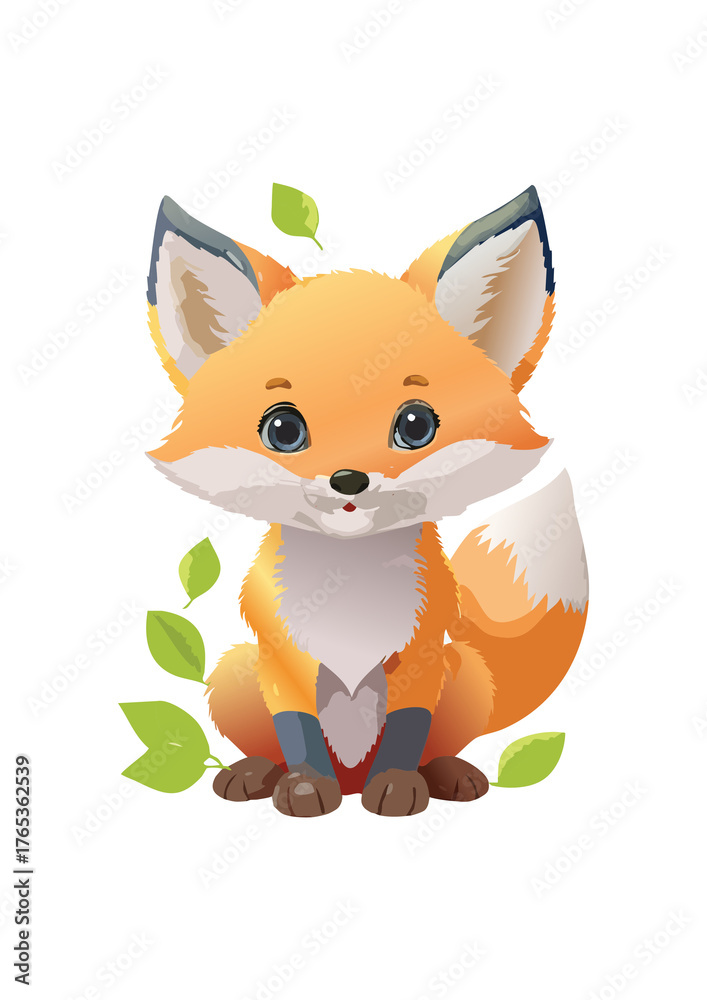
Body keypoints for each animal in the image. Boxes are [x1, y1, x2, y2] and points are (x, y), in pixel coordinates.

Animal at [145, 186, 588, 817]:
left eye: (415, 424)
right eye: (283, 429)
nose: (349, 480)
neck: (349, 592)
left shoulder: (422, 657)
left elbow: (407, 731)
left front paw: (399, 788)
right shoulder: (283, 661)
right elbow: (297, 731)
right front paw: (305, 788)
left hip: (464, 675)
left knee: (440, 744)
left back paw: (447, 773)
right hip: (234, 671)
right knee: (263, 741)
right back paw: (255, 773)